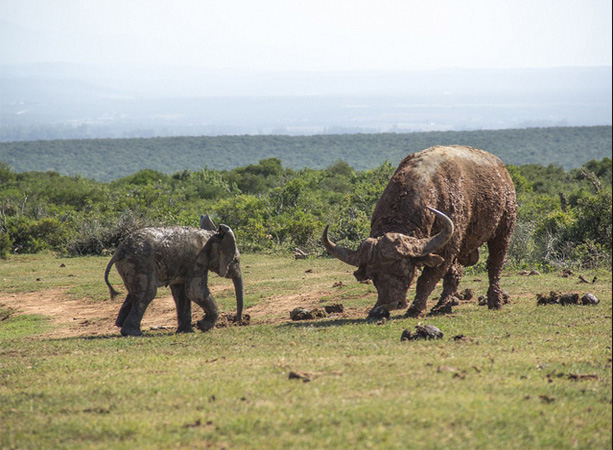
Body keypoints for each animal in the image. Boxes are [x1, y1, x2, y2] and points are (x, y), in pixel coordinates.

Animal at [104, 215, 243, 338]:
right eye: (235, 260)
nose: (237, 322)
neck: (211, 235)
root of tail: (118, 252)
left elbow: (182, 292)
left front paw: (187, 331)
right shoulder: (197, 259)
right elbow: (195, 291)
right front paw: (203, 326)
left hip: (131, 265)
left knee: (134, 294)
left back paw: (121, 326)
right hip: (140, 262)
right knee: (147, 293)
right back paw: (134, 333)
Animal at [322, 146, 512, 318]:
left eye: (404, 271)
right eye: (373, 275)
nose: (390, 304)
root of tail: (503, 172)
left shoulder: (446, 248)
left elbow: (426, 280)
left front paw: (416, 309)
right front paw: (377, 310)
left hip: (504, 228)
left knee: (494, 265)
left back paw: (495, 301)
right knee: (455, 274)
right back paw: (442, 306)